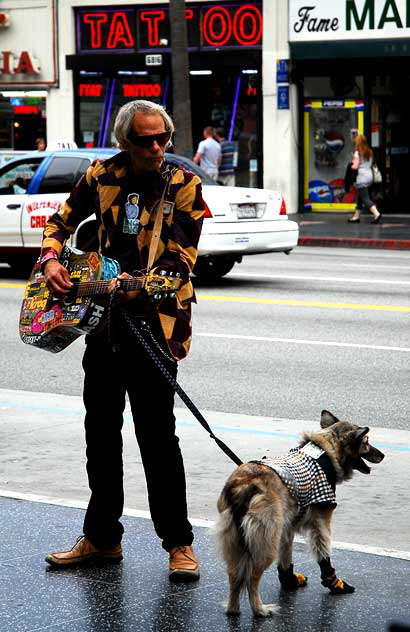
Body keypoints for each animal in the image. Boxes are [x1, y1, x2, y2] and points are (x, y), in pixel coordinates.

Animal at [216, 410, 386, 616]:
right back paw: (259, 609)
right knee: (252, 577)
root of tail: (245, 484)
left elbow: (286, 558)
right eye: (366, 442)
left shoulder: (287, 527)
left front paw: (289, 581)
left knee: (234, 576)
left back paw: (233, 609)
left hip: (237, 542)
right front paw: (334, 583)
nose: (383, 455)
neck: (326, 451)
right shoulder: (321, 523)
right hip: (266, 542)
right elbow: (324, 555)